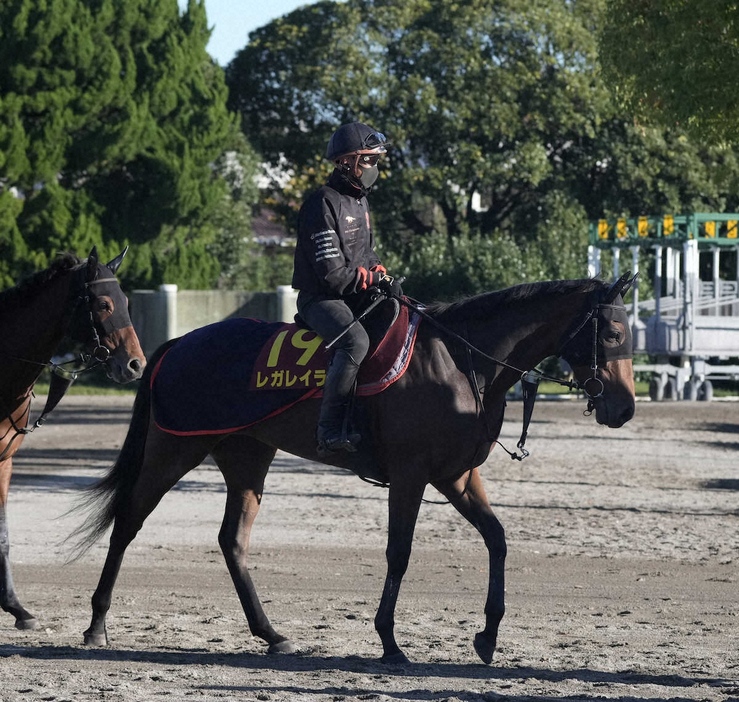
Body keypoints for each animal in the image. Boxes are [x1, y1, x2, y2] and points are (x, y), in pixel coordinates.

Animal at [0, 252, 146, 632]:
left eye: (127, 302)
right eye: (104, 304)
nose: (135, 364)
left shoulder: (4, 462)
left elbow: (3, 536)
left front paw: (17, 608)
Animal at [76, 274, 636, 664]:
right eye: (612, 331)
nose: (625, 407)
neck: (459, 360)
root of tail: (178, 344)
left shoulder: (457, 477)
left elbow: (497, 540)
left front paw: (488, 634)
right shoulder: (411, 476)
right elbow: (399, 553)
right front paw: (389, 640)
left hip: (247, 456)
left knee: (232, 540)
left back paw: (270, 633)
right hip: (173, 449)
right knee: (128, 522)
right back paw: (97, 623)